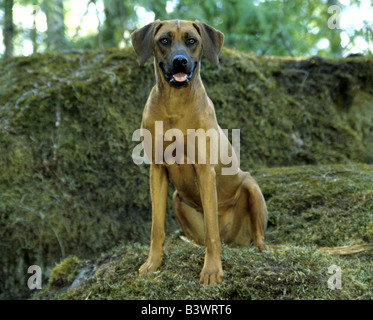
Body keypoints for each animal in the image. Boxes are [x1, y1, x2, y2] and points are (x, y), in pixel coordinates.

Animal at [131, 20, 268, 284]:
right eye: (164, 40)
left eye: (192, 40)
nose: (180, 61)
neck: (175, 104)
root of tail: (232, 238)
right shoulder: (157, 170)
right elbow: (156, 227)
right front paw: (153, 263)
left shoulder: (205, 170)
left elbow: (212, 233)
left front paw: (212, 270)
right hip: (177, 199)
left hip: (250, 186)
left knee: (249, 232)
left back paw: (261, 246)